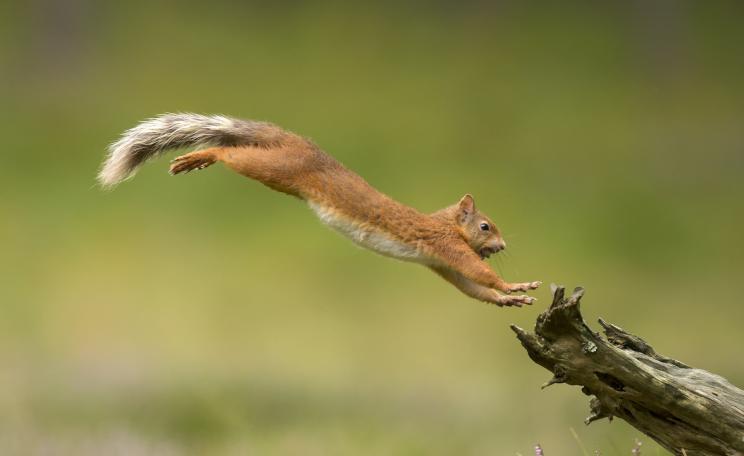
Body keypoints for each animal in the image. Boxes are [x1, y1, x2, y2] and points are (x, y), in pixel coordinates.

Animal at [99, 113, 540, 306]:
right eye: (486, 227)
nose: (502, 247)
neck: (445, 223)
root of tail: (299, 142)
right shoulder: (446, 246)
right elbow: (479, 272)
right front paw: (514, 286)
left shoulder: (439, 263)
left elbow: (470, 286)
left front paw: (506, 300)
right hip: (278, 168)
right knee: (230, 153)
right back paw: (202, 156)